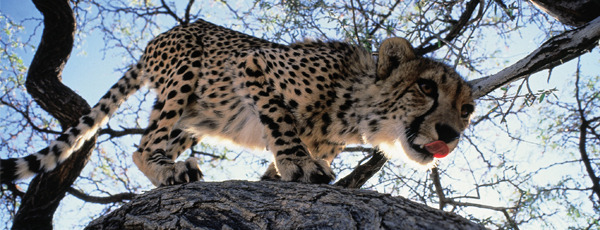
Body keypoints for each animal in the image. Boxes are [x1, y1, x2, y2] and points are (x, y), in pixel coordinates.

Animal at [2, 18, 476, 186]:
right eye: (426, 88)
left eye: (468, 109)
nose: (450, 133)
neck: (355, 108)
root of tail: (164, 34)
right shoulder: (252, 63)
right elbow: (280, 119)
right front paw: (297, 161)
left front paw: (286, 170)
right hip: (185, 75)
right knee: (143, 146)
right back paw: (168, 170)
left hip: (194, 117)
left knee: (156, 139)